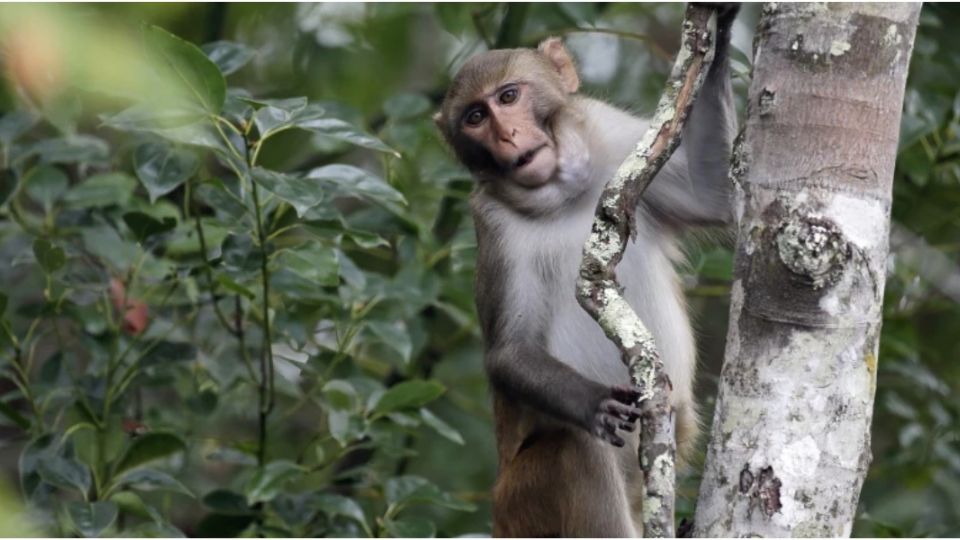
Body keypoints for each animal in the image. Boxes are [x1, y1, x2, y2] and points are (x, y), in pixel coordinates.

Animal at [436, 5, 744, 536]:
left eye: (508, 96)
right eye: (475, 117)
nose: (507, 135)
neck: (564, 195)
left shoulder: (616, 137)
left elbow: (716, 196)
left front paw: (721, 29)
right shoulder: (493, 225)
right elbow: (510, 351)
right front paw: (593, 402)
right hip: (521, 500)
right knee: (575, 449)